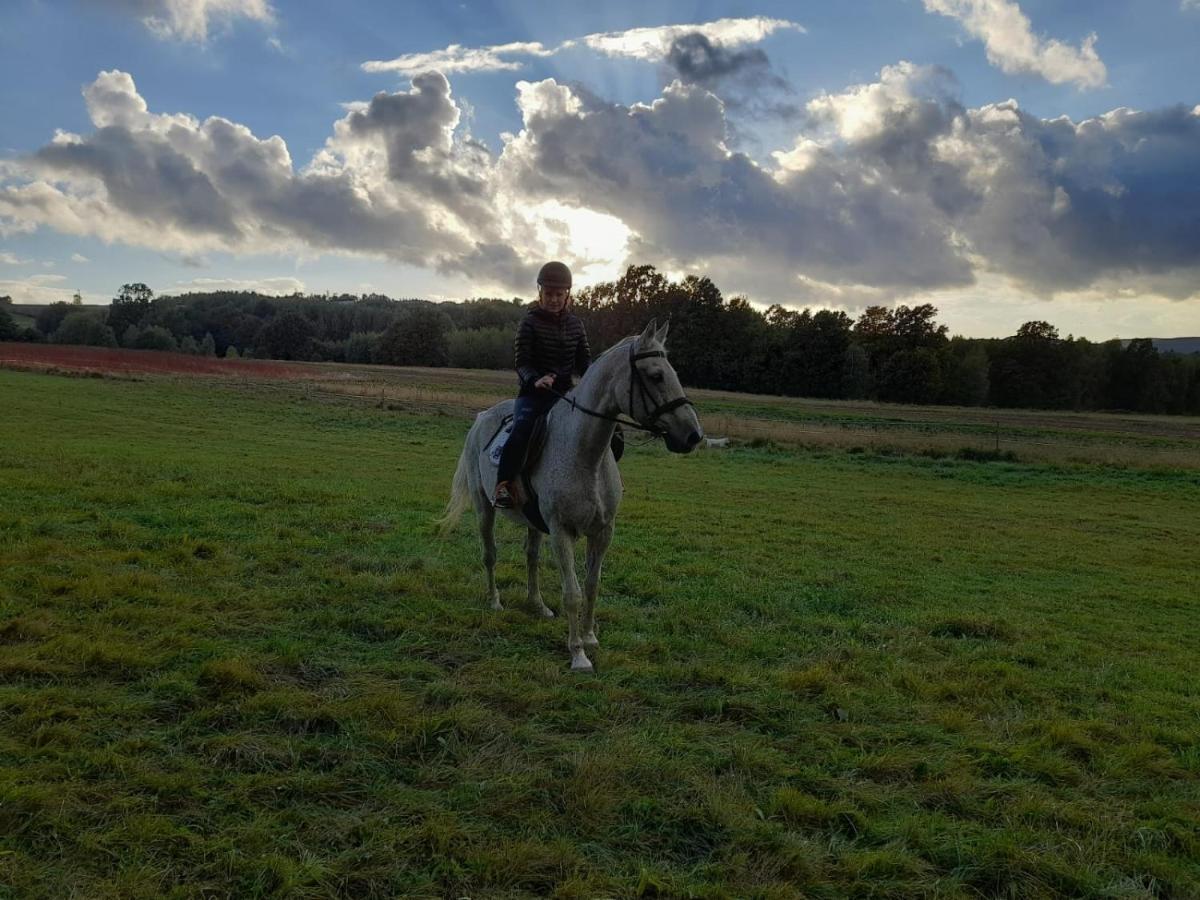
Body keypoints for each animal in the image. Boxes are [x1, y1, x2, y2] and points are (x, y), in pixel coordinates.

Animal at [439, 321, 700, 672]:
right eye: (656, 375)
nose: (693, 435)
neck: (585, 454)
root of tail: (482, 417)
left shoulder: (603, 531)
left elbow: (592, 584)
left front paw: (589, 637)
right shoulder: (561, 531)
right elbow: (572, 593)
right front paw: (578, 654)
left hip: (533, 522)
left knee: (531, 556)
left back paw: (538, 605)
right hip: (485, 508)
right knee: (490, 554)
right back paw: (494, 601)